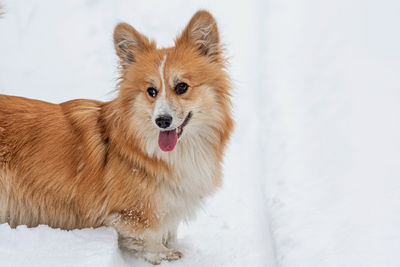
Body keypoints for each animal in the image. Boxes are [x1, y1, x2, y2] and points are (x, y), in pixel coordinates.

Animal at [0, 9, 234, 264]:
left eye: (182, 87)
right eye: (151, 91)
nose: (162, 121)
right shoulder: (134, 212)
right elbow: (149, 235)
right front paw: (163, 254)